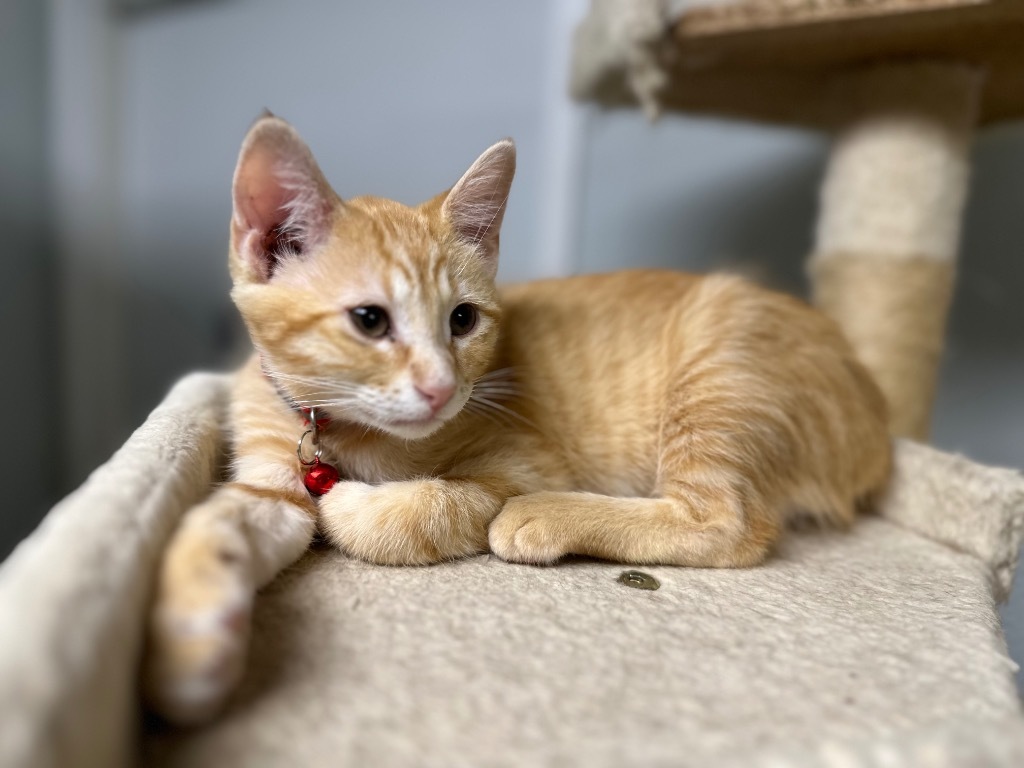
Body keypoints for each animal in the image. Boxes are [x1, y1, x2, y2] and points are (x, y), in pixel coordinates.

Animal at [142, 112, 888, 720]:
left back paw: (548, 518)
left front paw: (357, 508)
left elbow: (426, 508)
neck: (347, 430)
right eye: (369, 320)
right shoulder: (270, 471)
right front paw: (190, 634)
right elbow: (220, 519)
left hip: (720, 379)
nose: (442, 388)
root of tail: (874, 407)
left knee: (730, 522)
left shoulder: (522, 460)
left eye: (462, 320)